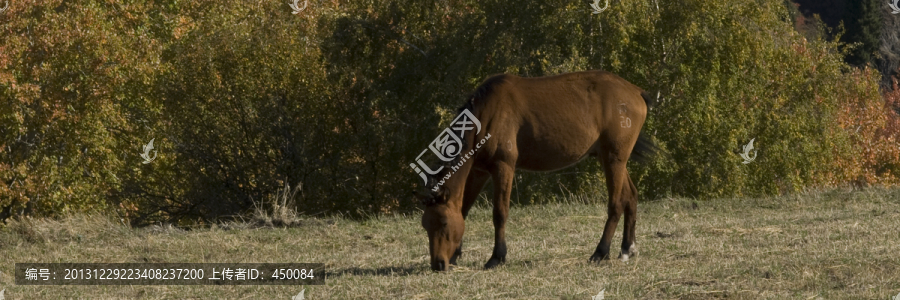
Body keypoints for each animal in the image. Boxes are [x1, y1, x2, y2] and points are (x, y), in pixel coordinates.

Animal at [414, 70, 652, 272]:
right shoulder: (479, 171)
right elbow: (463, 209)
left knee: (616, 203)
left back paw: (600, 252)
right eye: (426, 226)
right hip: (611, 159)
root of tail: (635, 91)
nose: (438, 264)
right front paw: (456, 255)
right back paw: (627, 248)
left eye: (444, 223)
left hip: (614, 160)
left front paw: (497, 257)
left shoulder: (503, 167)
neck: (486, 115)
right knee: (630, 195)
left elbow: (500, 213)